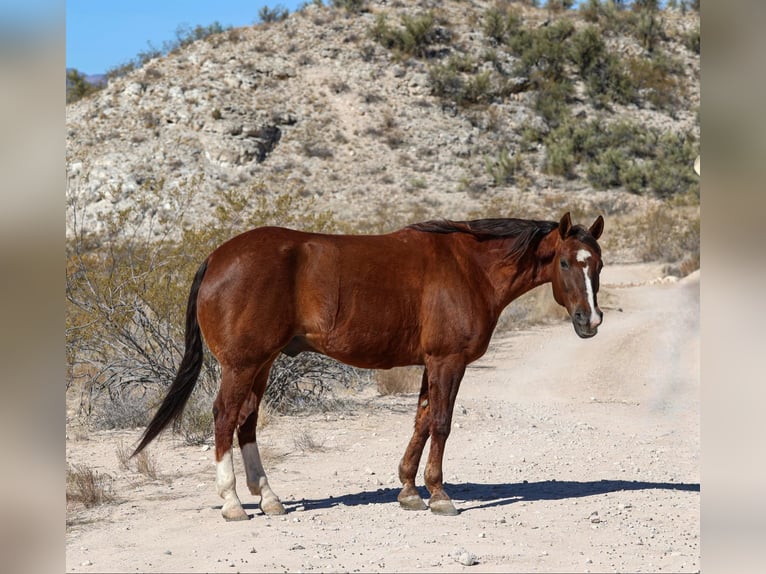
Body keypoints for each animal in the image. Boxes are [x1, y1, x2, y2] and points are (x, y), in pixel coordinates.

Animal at [132, 212, 605, 520]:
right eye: (565, 262)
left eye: (597, 264)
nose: (591, 321)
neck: (470, 267)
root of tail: (216, 258)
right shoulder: (447, 361)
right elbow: (441, 423)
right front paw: (439, 495)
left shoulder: (430, 363)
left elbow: (421, 421)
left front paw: (410, 491)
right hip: (242, 365)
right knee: (225, 417)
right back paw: (232, 503)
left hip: (261, 364)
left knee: (245, 421)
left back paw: (269, 499)